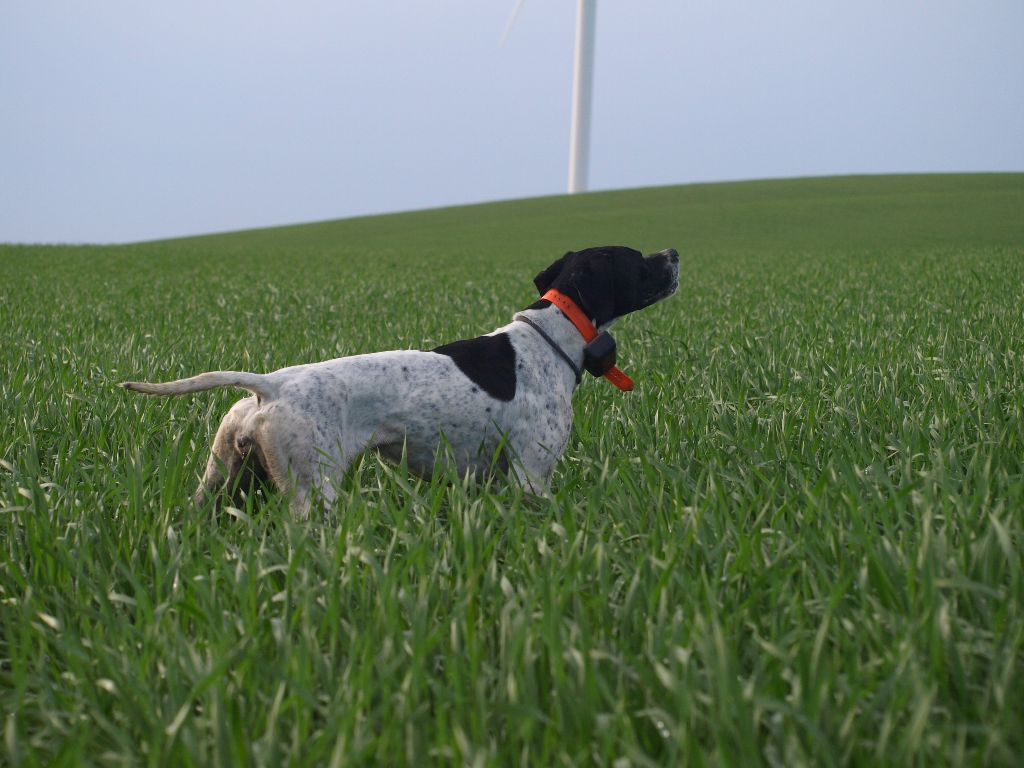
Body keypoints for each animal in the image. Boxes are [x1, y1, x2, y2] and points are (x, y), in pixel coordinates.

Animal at [119, 249, 679, 520]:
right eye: (637, 258)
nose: (673, 252)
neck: (548, 338)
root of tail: (270, 386)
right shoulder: (531, 477)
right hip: (313, 493)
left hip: (220, 485)